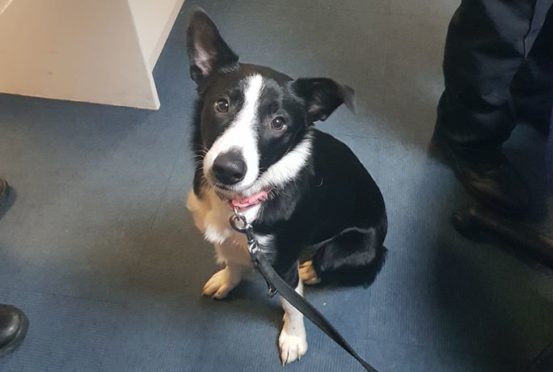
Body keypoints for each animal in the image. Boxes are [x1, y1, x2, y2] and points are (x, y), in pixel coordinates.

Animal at [185, 10, 384, 366]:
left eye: (278, 122)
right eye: (221, 105)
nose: (227, 170)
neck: (243, 202)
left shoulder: (284, 263)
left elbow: (292, 305)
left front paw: (293, 339)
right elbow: (232, 259)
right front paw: (226, 280)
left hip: (346, 248)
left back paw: (312, 271)